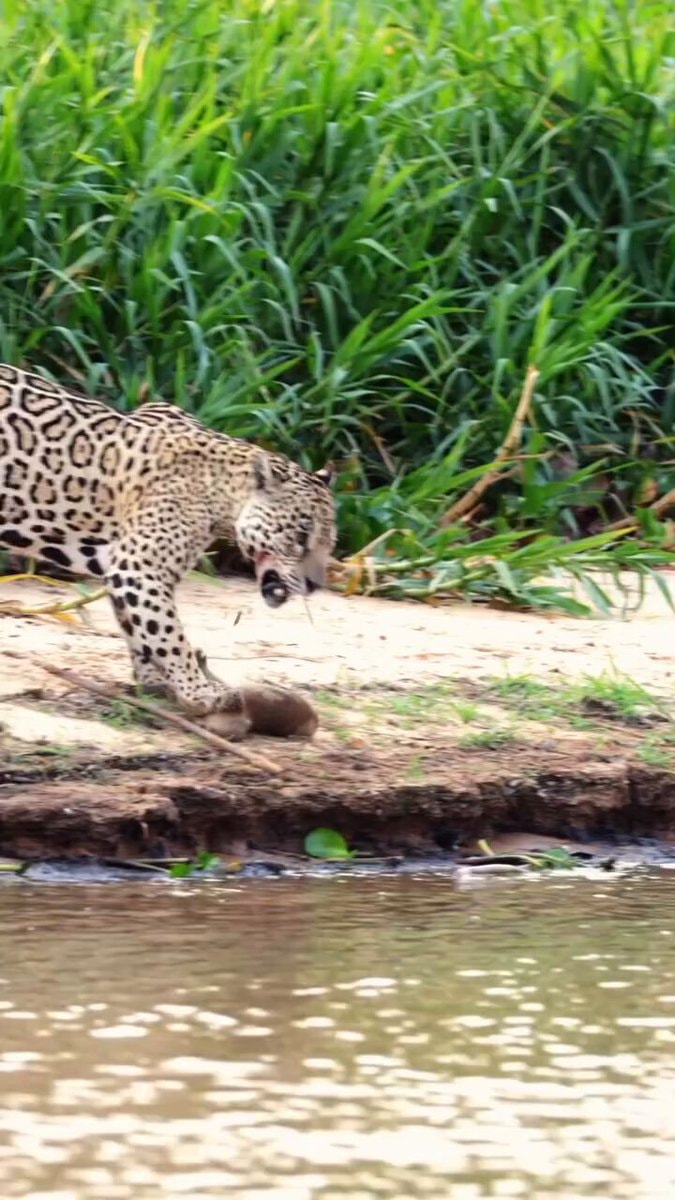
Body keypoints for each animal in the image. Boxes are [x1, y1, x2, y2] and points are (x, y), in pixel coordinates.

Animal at [0, 363, 336, 718]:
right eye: (300, 535)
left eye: (329, 543)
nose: (315, 585)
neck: (223, 490)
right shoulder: (140, 569)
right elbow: (168, 634)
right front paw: (200, 691)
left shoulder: (127, 570)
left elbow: (141, 629)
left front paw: (154, 681)